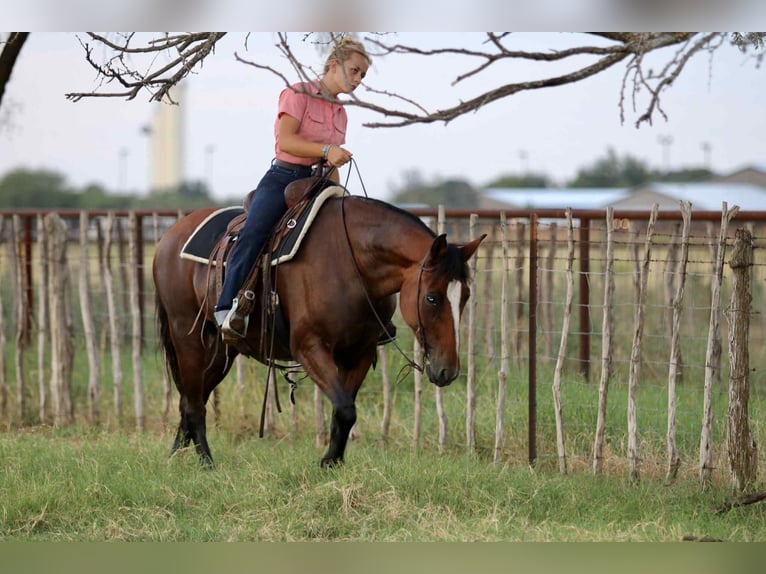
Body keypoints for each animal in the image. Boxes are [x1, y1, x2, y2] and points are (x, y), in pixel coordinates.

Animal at [153, 186, 485, 467]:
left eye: (467, 295)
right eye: (432, 297)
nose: (448, 371)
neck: (351, 261)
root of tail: (169, 237)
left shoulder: (359, 353)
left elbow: (344, 411)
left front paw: (333, 463)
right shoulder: (310, 348)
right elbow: (345, 408)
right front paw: (328, 462)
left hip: (222, 351)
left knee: (191, 398)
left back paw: (175, 457)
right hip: (188, 338)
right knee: (194, 403)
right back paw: (206, 463)